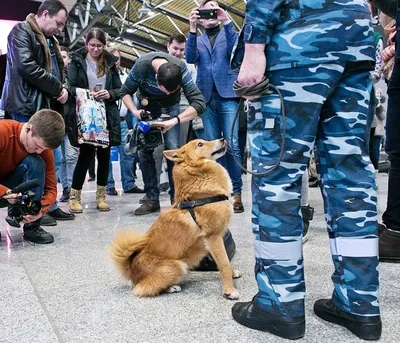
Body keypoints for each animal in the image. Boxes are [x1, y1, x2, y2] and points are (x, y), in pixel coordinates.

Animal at [109, 138, 239, 300]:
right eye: (200, 144)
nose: (222, 139)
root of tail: (132, 271)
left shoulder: (217, 237)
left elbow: (225, 260)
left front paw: (232, 274)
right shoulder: (213, 237)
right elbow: (224, 264)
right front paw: (229, 290)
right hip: (179, 266)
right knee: (145, 289)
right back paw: (171, 288)